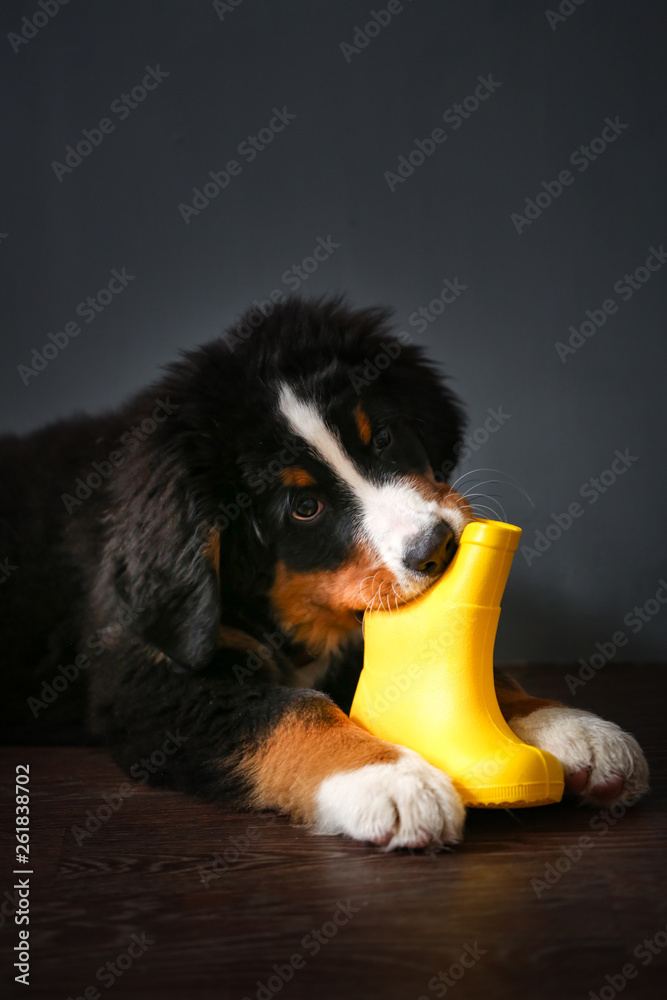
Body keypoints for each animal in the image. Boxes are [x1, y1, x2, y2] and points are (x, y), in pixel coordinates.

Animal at [0, 292, 648, 848]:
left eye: (382, 437)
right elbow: (290, 710)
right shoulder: (151, 681)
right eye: (304, 507)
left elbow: (482, 677)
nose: (436, 547)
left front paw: (574, 730)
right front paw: (390, 779)